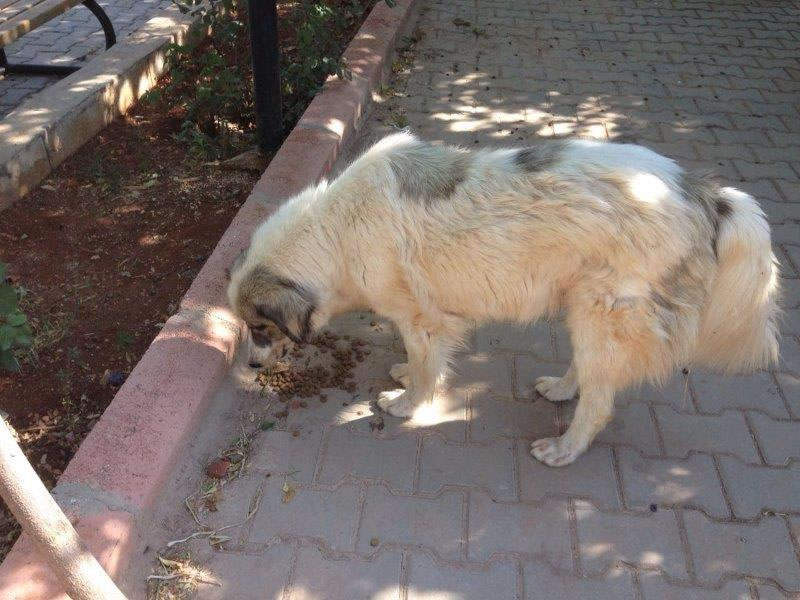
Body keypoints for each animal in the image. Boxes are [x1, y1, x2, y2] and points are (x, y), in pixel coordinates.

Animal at [228, 132, 780, 468]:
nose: (250, 367)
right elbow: (417, 362)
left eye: (260, 328)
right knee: (588, 375)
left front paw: (407, 404)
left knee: (600, 403)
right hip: (584, 309)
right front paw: (405, 376)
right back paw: (560, 388)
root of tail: (707, 195)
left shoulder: (422, 319)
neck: (335, 230)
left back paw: (564, 448)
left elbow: (426, 370)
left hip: (601, 314)